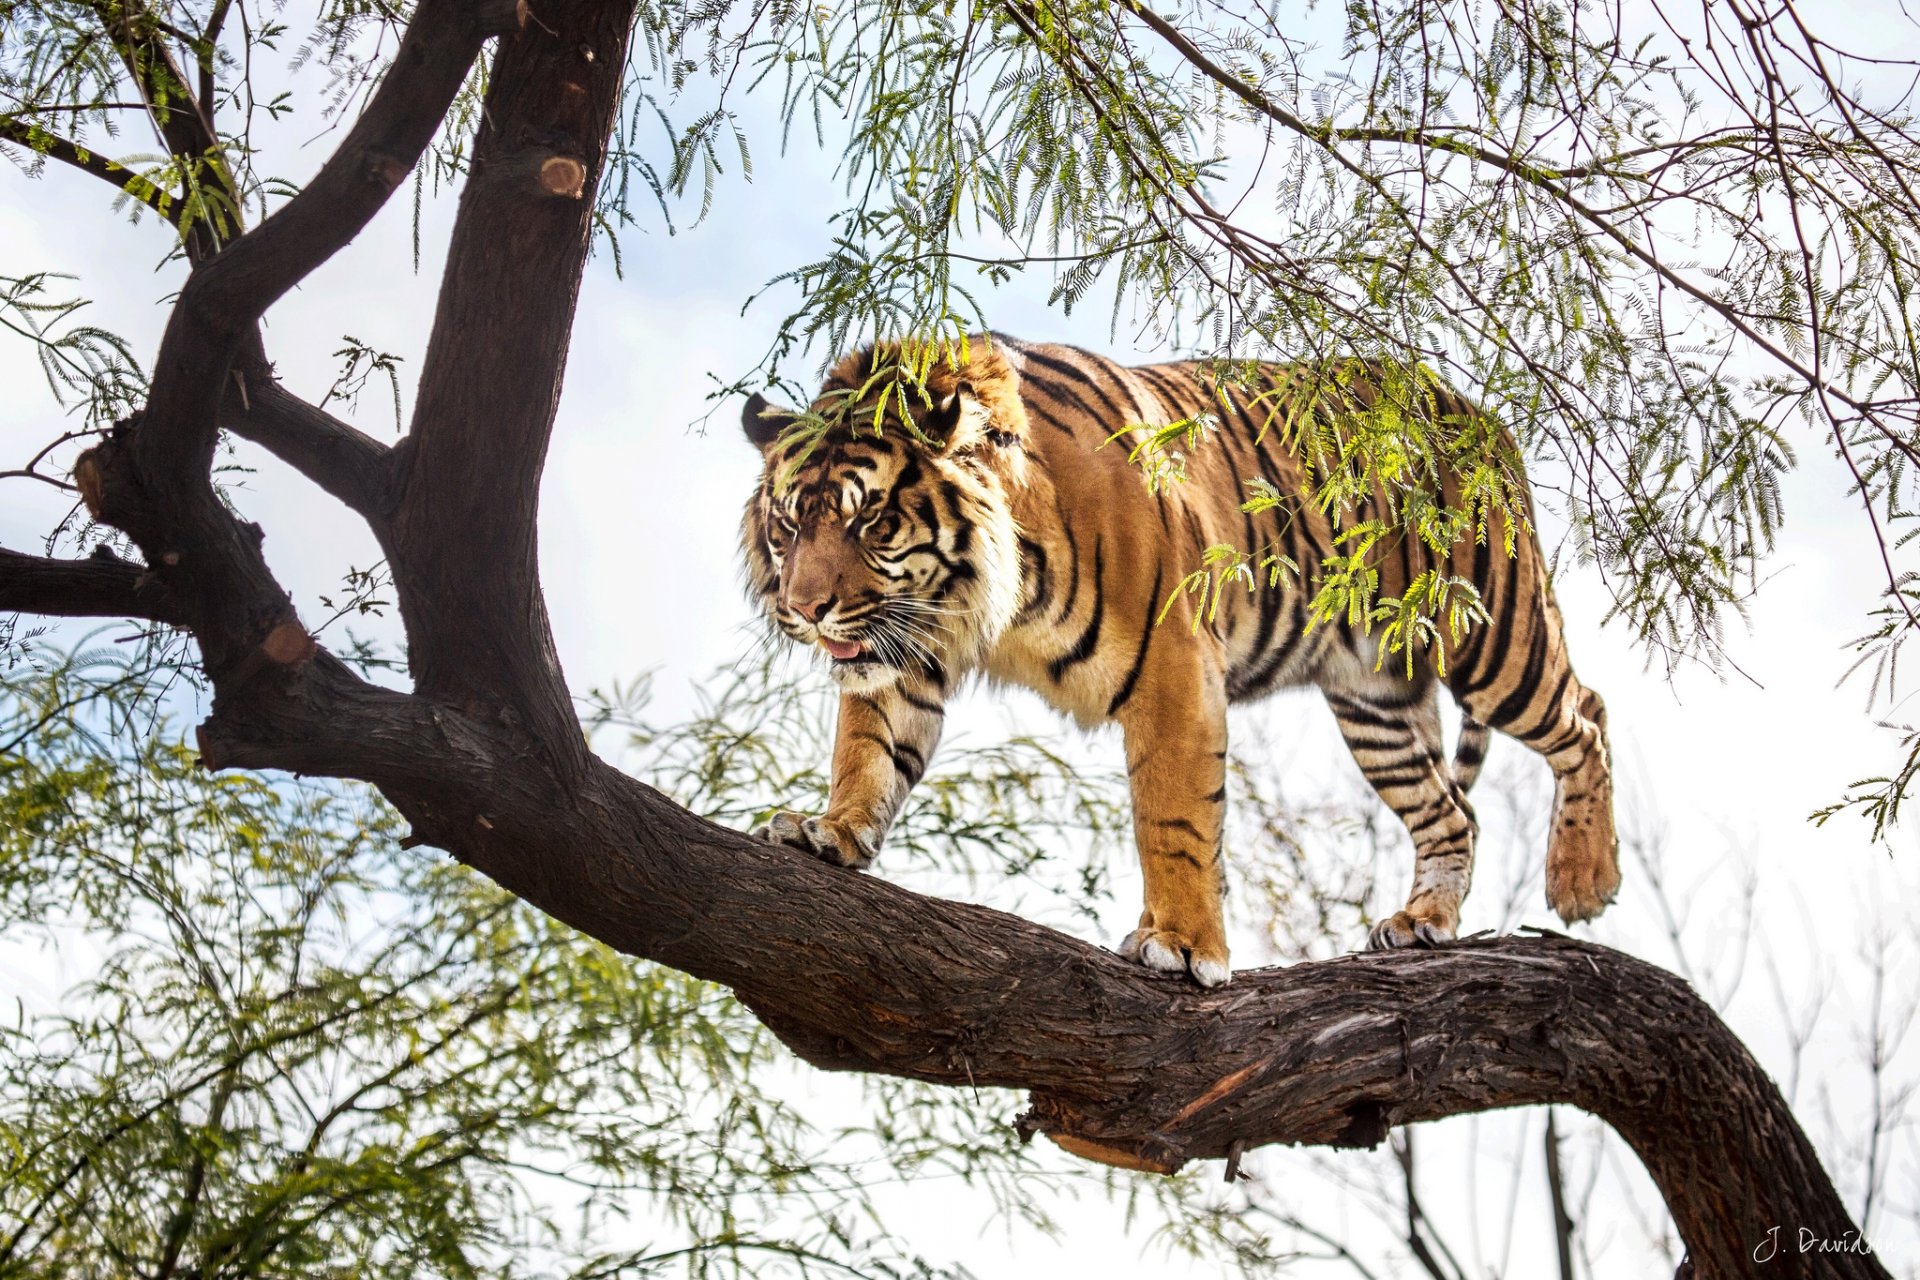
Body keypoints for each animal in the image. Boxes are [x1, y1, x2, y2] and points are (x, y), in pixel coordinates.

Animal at [738, 335, 1619, 987]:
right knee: (1451, 812)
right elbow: (868, 751)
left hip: (1491, 637)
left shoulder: (1173, 670)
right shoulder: (904, 648)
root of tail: (1480, 414)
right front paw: (829, 831)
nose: (805, 609)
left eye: (871, 521)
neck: (983, 595)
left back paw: (1583, 879)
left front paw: (1187, 948)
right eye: (789, 525)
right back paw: (1424, 923)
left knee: (1586, 716)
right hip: (1374, 702)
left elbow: (1175, 819)